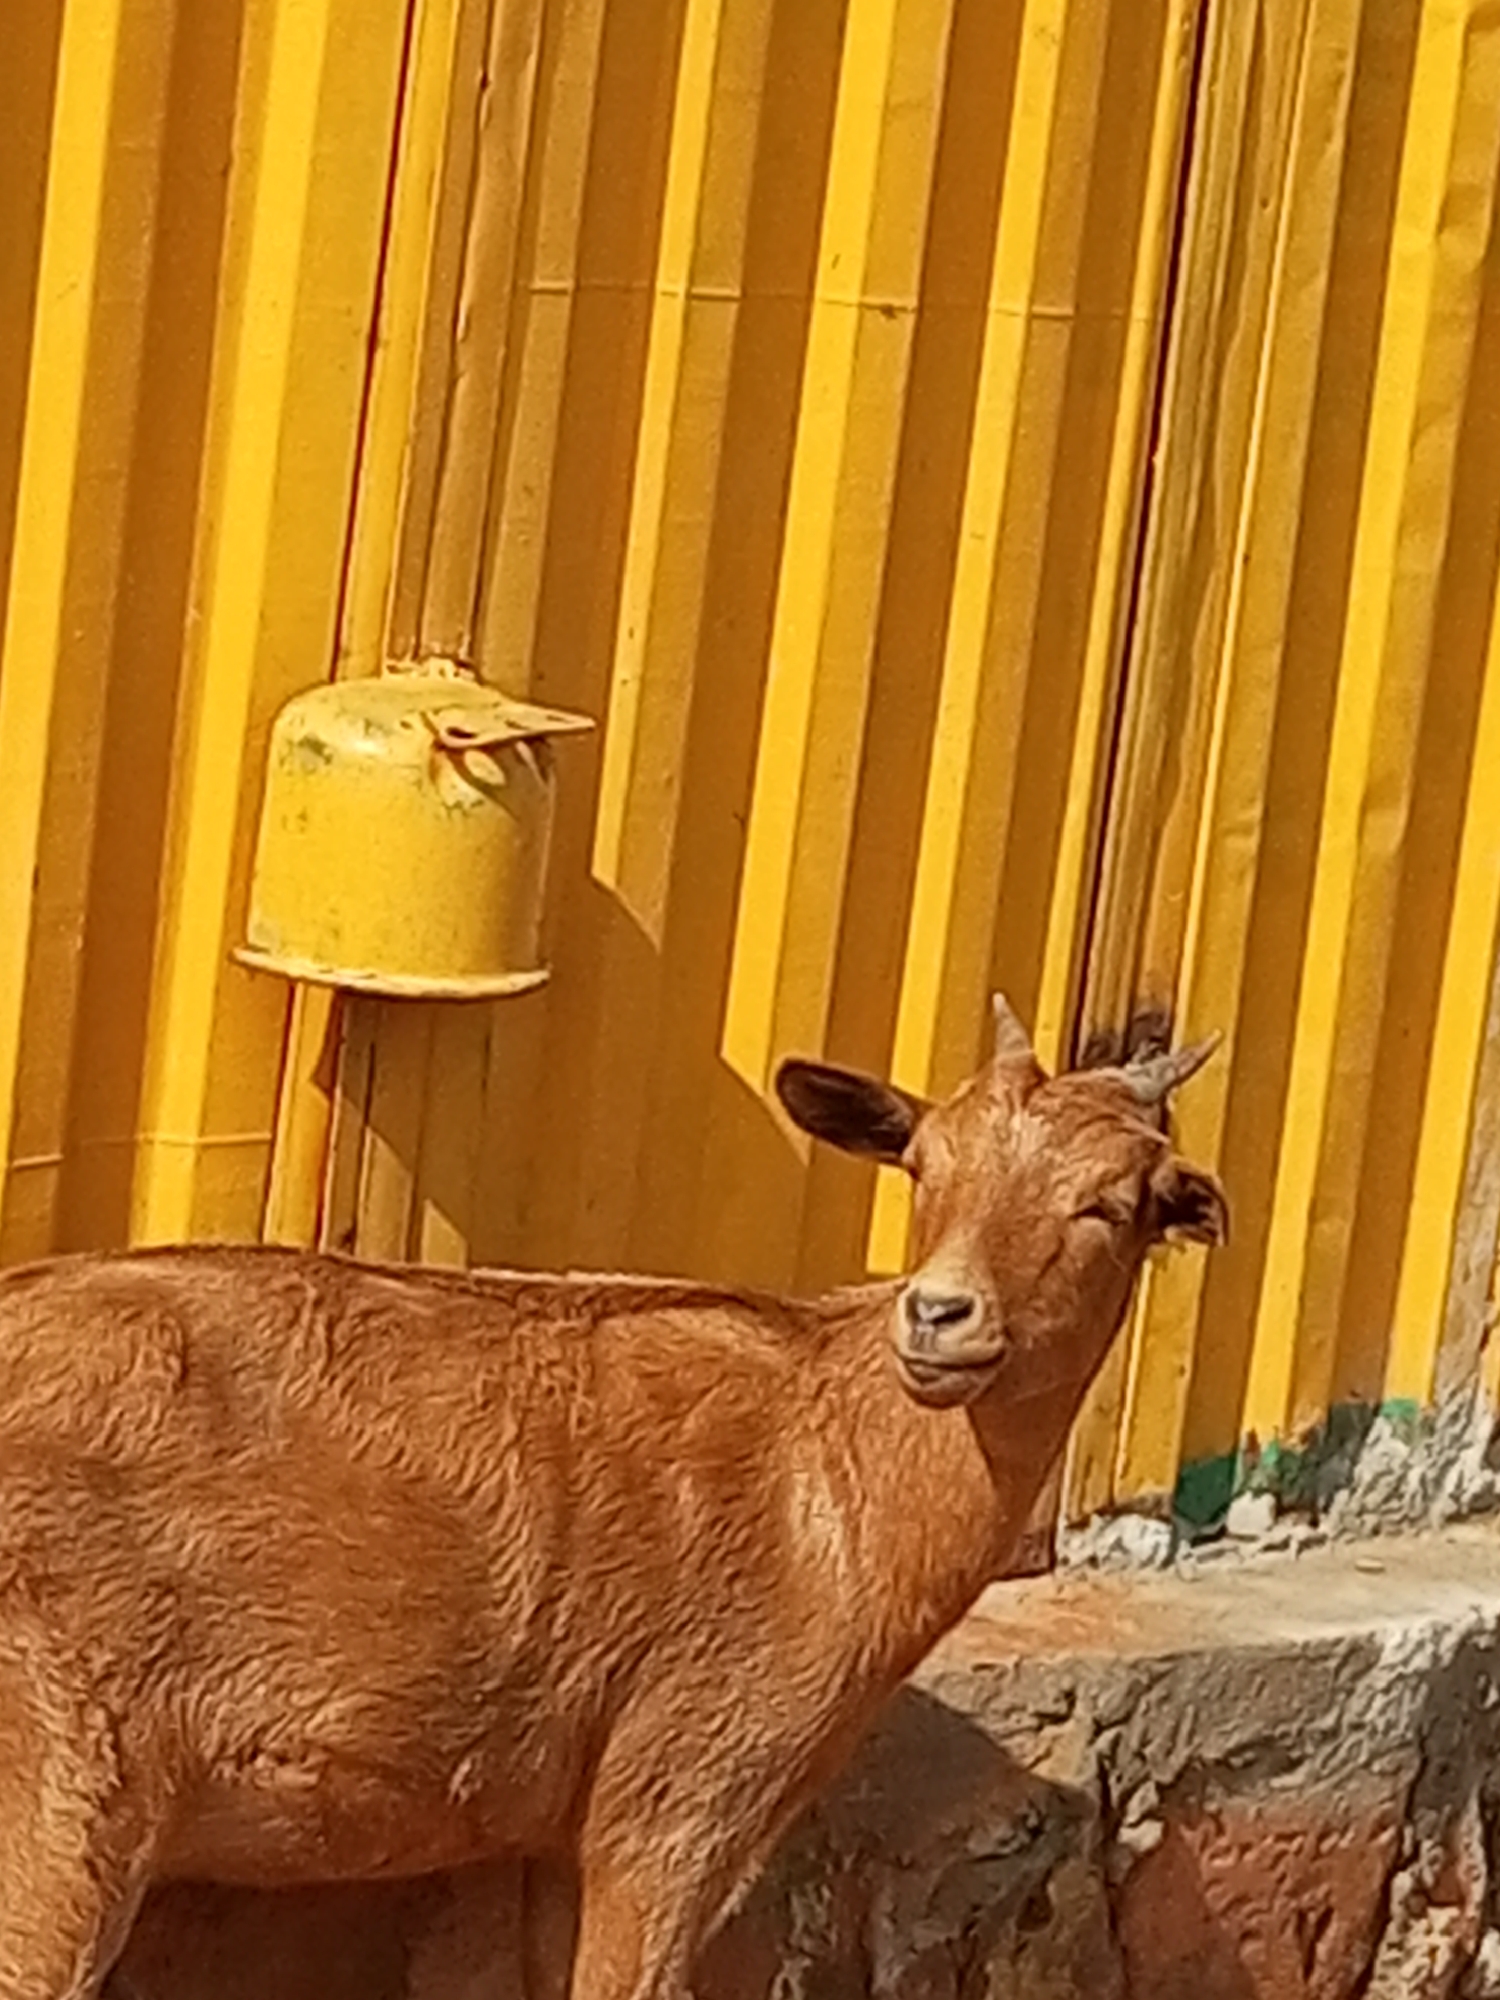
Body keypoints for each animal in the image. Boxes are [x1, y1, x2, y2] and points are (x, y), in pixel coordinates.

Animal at [0, 997, 1224, 2000]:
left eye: (1113, 1202)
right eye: (926, 1163)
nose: (939, 1316)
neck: (831, 1471)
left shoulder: (563, 1829)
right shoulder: (687, 1786)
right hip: (63, 1789)